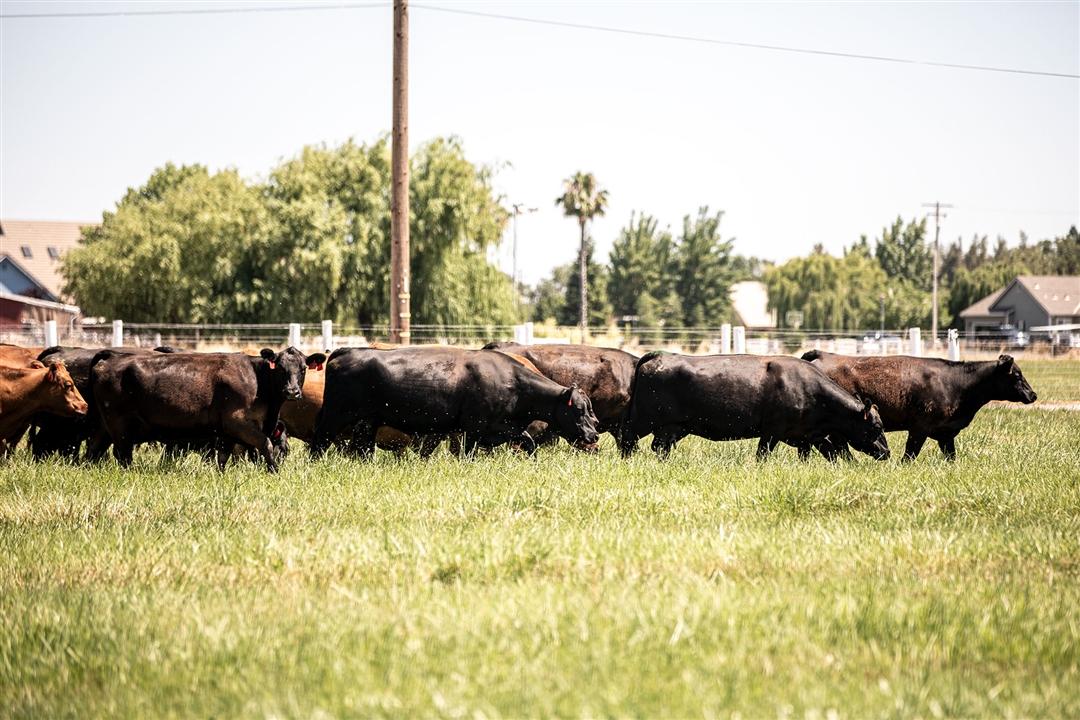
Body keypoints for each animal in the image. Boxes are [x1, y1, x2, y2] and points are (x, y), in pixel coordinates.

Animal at [89, 347, 324, 471]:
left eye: (303, 369)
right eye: (281, 368)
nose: (292, 391)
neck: (258, 379)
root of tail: (111, 357)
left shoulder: (228, 432)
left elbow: (223, 457)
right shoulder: (238, 422)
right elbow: (265, 444)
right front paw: (274, 470)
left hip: (104, 426)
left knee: (95, 449)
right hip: (119, 426)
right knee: (123, 455)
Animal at [310, 346, 600, 458]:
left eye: (590, 410)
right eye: (579, 410)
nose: (594, 434)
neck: (513, 382)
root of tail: (346, 350)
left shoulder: (503, 428)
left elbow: (528, 443)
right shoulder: (475, 428)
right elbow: (468, 453)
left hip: (368, 422)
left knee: (362, 448)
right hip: (336, 414)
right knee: (320, 440)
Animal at [618, 352, 891, 461]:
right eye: (876, 428)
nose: (886, 452)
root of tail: (659, 355)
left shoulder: (807, 435)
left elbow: (829, 453)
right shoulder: (771, 432)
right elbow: (762, 454)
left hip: (672, 427)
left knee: (659, 447)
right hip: (644, 420)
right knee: (628, 438)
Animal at [801, 350, 1037, 460]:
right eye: (1017, 375)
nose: (1033, 395)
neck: (956, 383)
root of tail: (823, 354)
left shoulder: (946, 434)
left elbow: (951, 457)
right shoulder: (919, 429)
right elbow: (909, 455)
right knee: (839, 447)